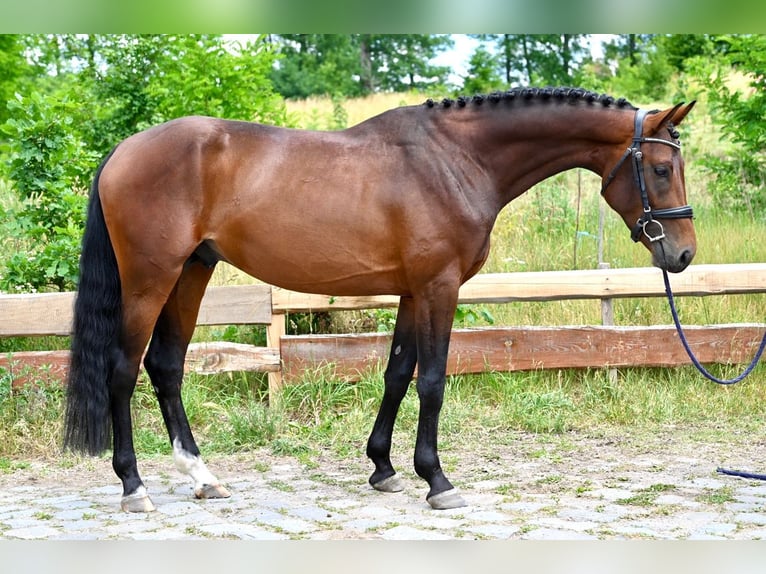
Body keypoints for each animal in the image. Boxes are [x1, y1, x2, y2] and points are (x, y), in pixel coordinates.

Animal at [63, 87, 697, 512]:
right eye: (662, 168)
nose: (684, 254)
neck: (454, 160)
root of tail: (123, 151)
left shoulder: (414, 291)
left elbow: (396, 374)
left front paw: (385, 468)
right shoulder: (440, 286)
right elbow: (433, 380)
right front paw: (437, 481)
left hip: (192, 272)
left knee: (166, 367)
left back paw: (203, 478)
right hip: (150, 279)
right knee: (122, 370)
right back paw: (133, 486)